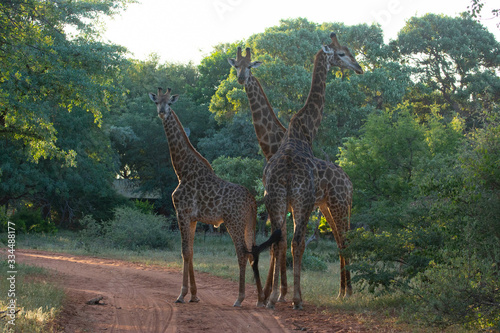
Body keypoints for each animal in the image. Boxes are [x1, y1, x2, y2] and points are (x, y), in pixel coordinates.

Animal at [148, 86, 278, 306]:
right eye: (156, 101)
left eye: (170, 103)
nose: (162, 112)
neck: (182, 170)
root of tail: (252, 201)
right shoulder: (192, 218)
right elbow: (191, 252)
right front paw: (194, 295)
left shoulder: (182, 213)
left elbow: (184, 252)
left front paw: (181, 295)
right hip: (248, 223)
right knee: (252, 252)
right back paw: (260, 299)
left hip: (233, 221)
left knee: (242, 252)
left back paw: (240, 298)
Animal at [229, 39, 362, 300]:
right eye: (342, 53)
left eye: (249, 65)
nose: (359, 67)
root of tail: (350, 181)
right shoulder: (289, 202)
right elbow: (281, 243)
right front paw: (277, 292)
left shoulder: (285, 201)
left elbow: (281, 243)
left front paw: (276, 292)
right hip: (327, 206)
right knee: (337, 240)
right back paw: (342, 291)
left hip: (337, 205)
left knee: (341, 240)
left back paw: (344, 291)